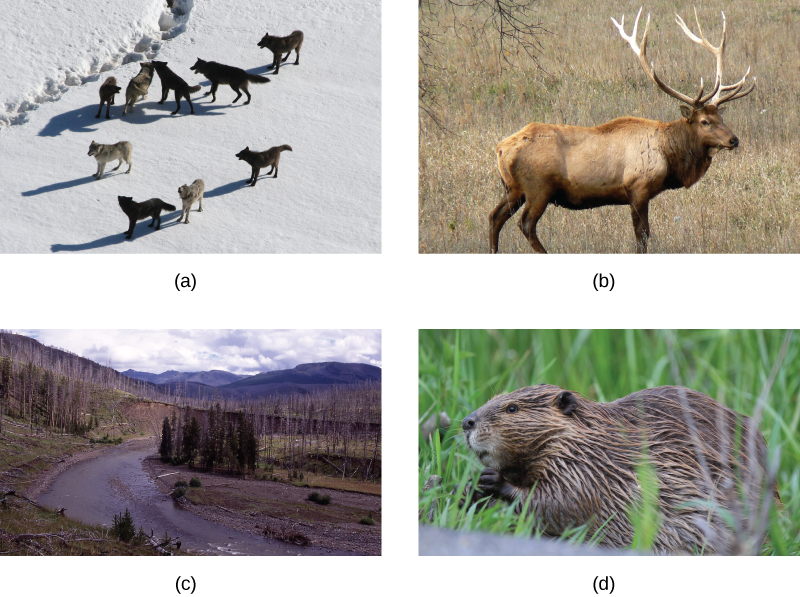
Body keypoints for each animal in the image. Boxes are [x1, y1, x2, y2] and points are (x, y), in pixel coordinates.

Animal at [460, 384, 780, 552]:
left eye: (512, 408)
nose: (466, 422)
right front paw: (469, 491)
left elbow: (561, 504)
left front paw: (495, 481)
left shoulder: (586, 469)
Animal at [488, 7, 756, 254]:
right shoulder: (637, 188)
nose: (733, 140)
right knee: (526, 224)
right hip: (538, 187)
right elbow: (642, 236)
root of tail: (500, 149)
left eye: (721, 116)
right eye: (704, 122)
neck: (669, 156)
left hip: (514, 188)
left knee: (494, 217)